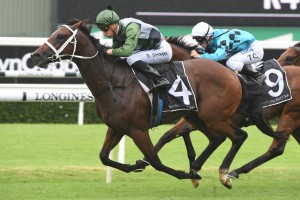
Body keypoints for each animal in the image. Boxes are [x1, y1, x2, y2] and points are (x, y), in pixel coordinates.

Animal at [30, 20, 276, 188]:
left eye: (61, 36)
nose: (35, 56)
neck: (114, 82)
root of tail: (231, 74)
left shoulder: (138, 129)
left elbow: (155, 160)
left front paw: (184, 173)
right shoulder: (117, 127)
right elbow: (104, 157)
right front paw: (136, 166)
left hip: (214, 117)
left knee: (239, 136)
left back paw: (225, 174)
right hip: (198, 116)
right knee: (218, 138)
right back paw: (201, 168)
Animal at [146, 36, 298, 184]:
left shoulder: (212, 118)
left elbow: (183, 132)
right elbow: (169, 135)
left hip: (290, 114)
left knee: (276, 147)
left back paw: (234, 171)